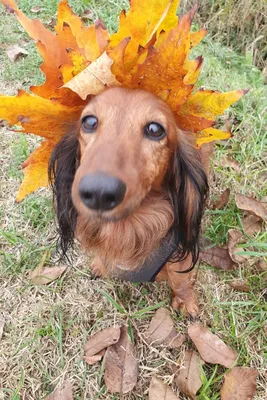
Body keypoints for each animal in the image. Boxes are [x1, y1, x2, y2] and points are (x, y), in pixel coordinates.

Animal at [49, 87, 210, 316]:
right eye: (89, 122)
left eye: (155, 129)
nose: (99, 192)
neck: (126, 229)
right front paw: (100, 265)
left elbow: (180, 279)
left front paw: (185, 301)